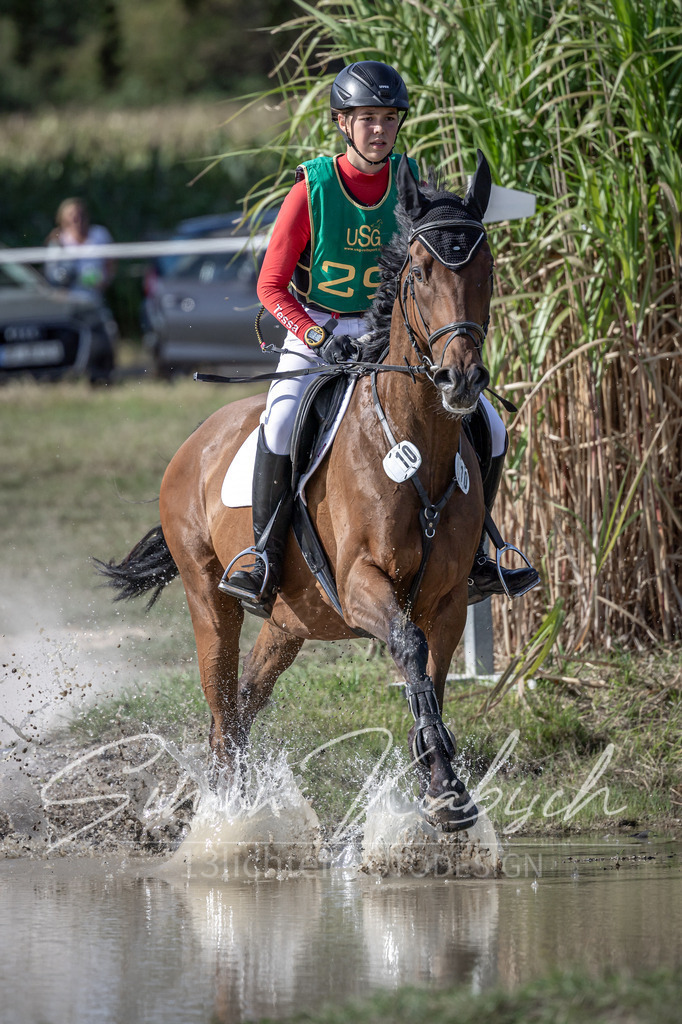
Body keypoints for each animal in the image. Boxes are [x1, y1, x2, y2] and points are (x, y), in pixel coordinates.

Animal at [98, 152, 495, 833]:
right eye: (420, 271)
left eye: (487, 269)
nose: (460, 379)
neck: (415, 446)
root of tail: (195, 442)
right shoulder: (361, 584)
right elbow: (409, 650)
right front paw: (444, 783)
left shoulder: (447, 600)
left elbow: (432, 680)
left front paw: (442, 786)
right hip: (211, 600)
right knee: (223, 703)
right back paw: (226, 818)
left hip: (288, 621)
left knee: (242, 705)